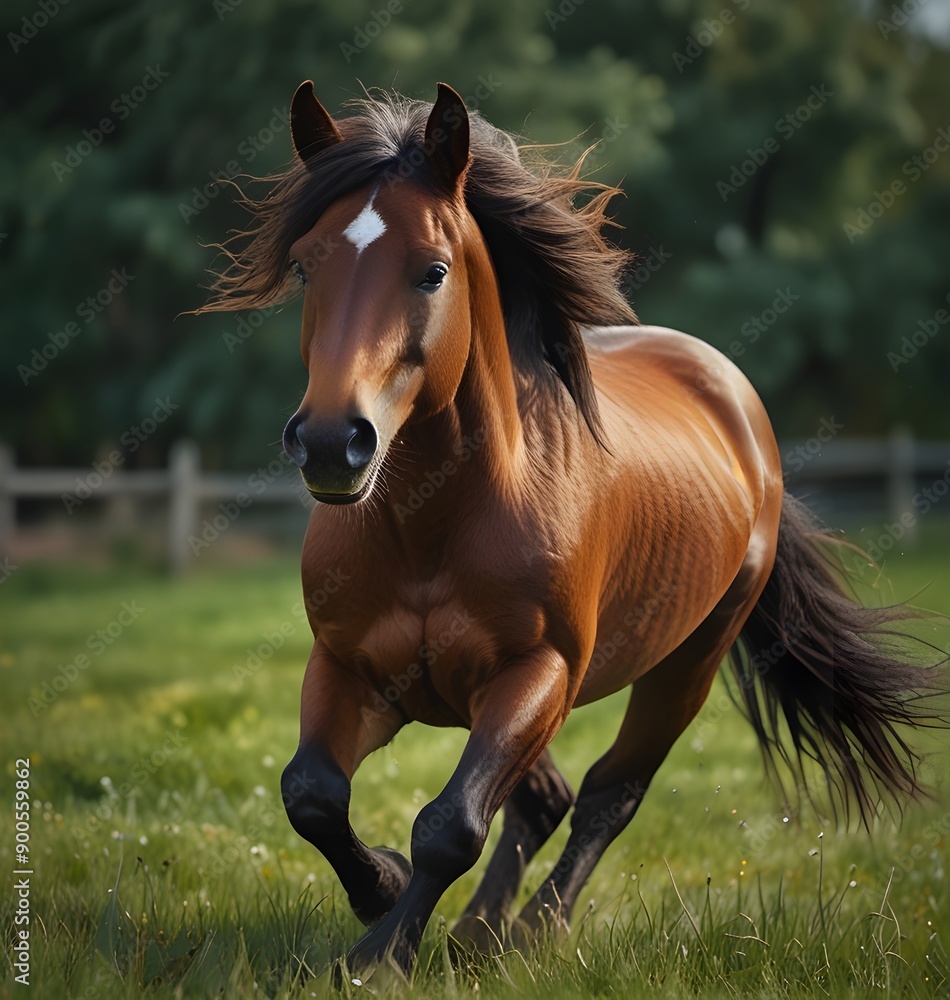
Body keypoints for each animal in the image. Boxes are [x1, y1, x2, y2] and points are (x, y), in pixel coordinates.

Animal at [196, 81, 943, 978]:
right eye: (307, 265)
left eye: (432, 271)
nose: (330, 443)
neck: (433, 527)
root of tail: (738, 406)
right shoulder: (348, 666)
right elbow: (311, 795)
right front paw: (381, 890)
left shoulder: (538, 672)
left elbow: (450, 826)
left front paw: (381, 953)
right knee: (543, 801)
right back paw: (480, 934)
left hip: (687, 662)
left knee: (607, 795)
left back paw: (532, 932)